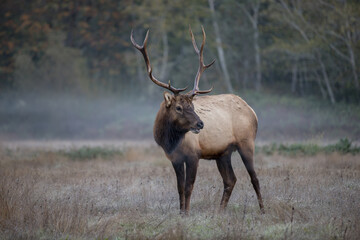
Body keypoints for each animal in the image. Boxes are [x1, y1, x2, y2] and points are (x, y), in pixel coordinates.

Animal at [131, 26, 262, 214]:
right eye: (179, 107)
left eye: (192, 106)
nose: (200, 123)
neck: (170, 141)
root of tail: (252, 111)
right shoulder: (175, 158)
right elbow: (179, 187)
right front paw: (180, 212)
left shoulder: (194, 155)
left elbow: (188, 187)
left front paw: (186, 213)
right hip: (223, 153)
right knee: (231, 179)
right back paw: (219, 211)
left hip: (247, 142)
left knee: (254, 178)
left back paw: (262, 209)